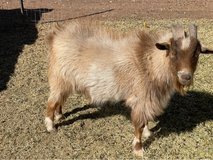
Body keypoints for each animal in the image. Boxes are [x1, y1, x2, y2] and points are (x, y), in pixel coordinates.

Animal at [45, 20, 213, 156]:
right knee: (51, 102)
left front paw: (147, 132)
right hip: (60, 78)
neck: (149, 62)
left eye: (196, 53)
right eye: (172, 51)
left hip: (67, 81)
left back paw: (59, 116)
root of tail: (56, 35)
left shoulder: (148, 99)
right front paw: (138, 149)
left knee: (60, 100)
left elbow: (145, 120)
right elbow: (138, 124)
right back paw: (50, 126)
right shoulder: (141, 98)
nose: (185, 76)